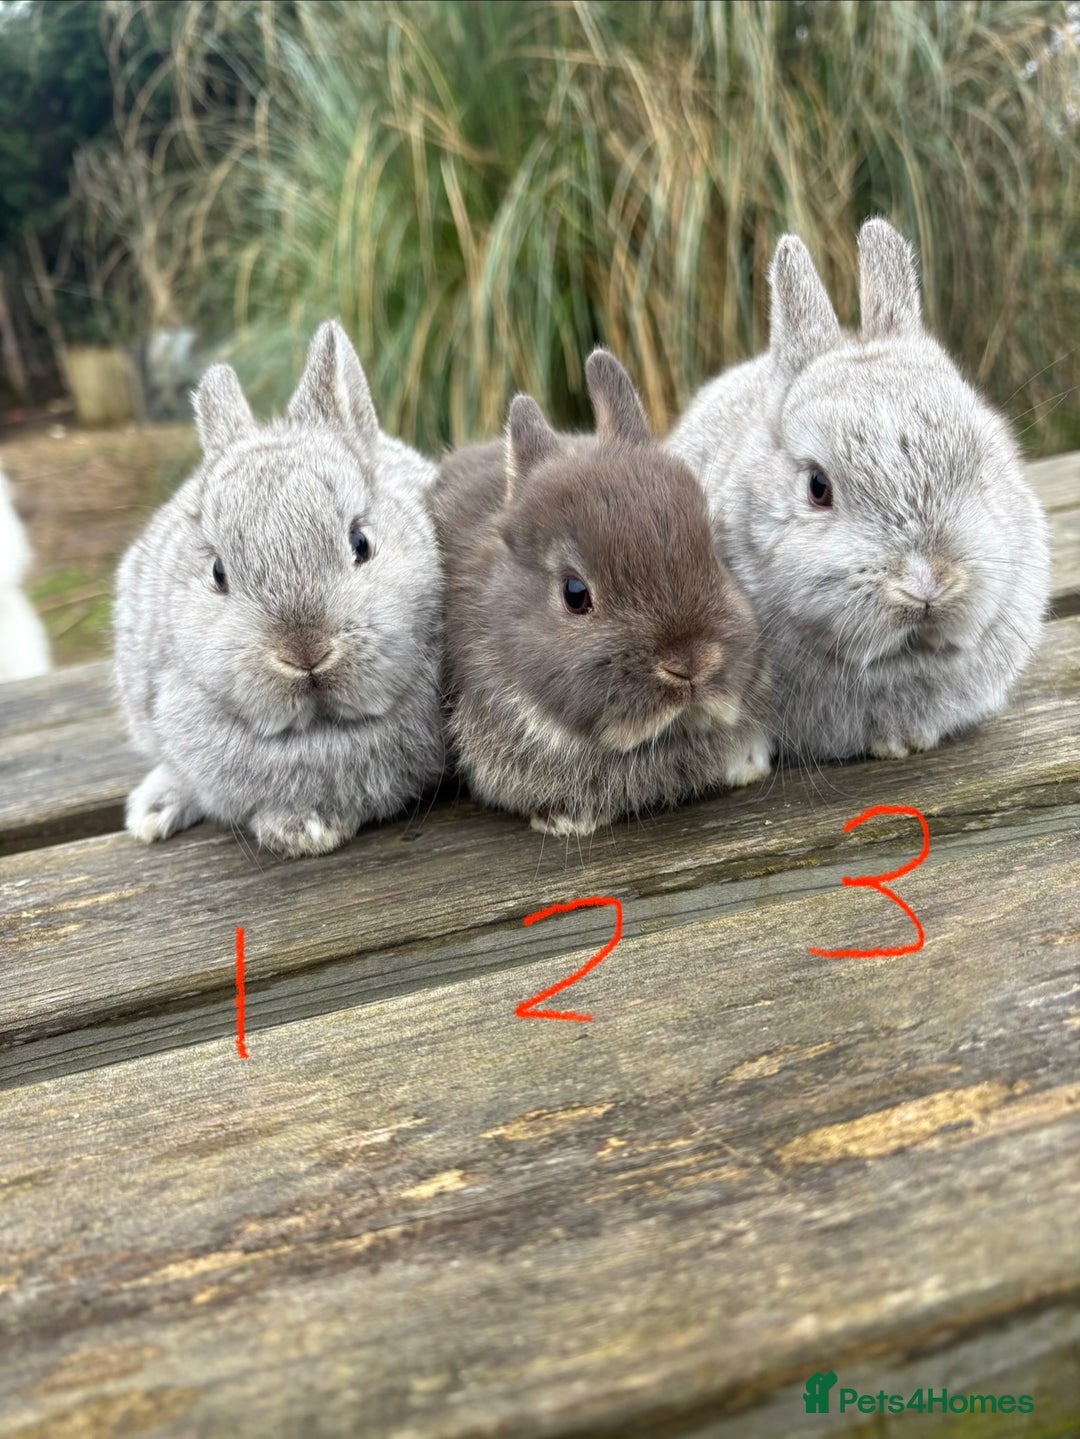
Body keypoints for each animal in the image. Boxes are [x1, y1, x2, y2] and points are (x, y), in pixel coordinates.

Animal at [113, 320, 445, 858]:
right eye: (218, 573)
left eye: (361, 542)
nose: (305, 652)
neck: (320, 731)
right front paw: (304, 832)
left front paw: (307, 832)